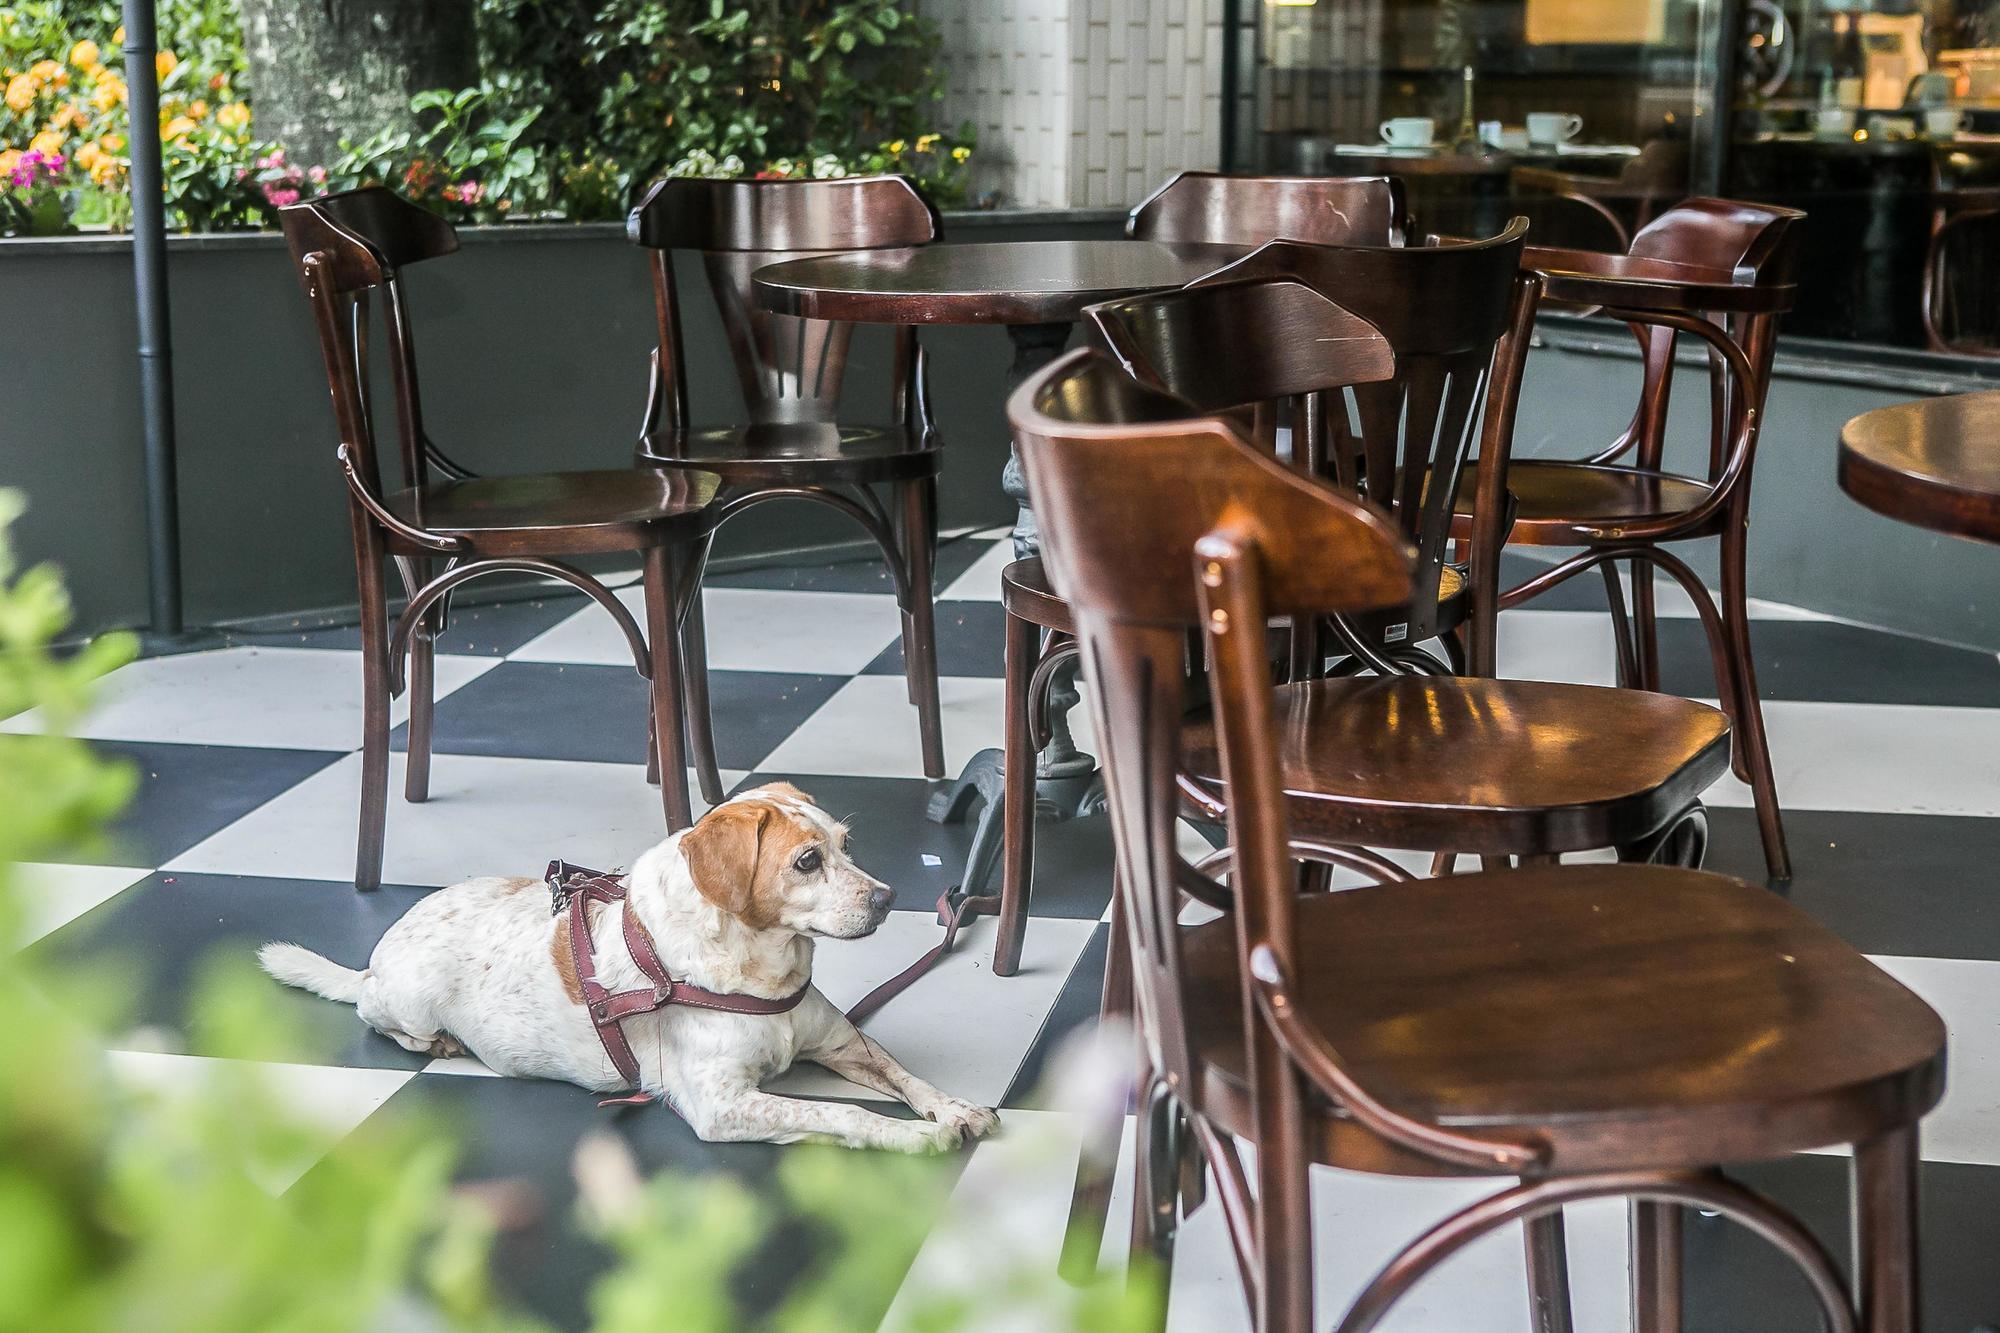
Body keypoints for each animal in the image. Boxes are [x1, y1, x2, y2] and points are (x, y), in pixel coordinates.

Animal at [262, 784, 1000, 1144]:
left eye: (846, 844)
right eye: (807, 860)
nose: (889, 897)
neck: (763, 970)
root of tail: (380, 952)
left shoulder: (844, 1043)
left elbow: (908, 1077)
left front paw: (956, 1108)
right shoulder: (722, 1106)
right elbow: (845, 1116)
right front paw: (912, 1138)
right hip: (403, 1000)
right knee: (374, 1014)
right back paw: (433, 1039)